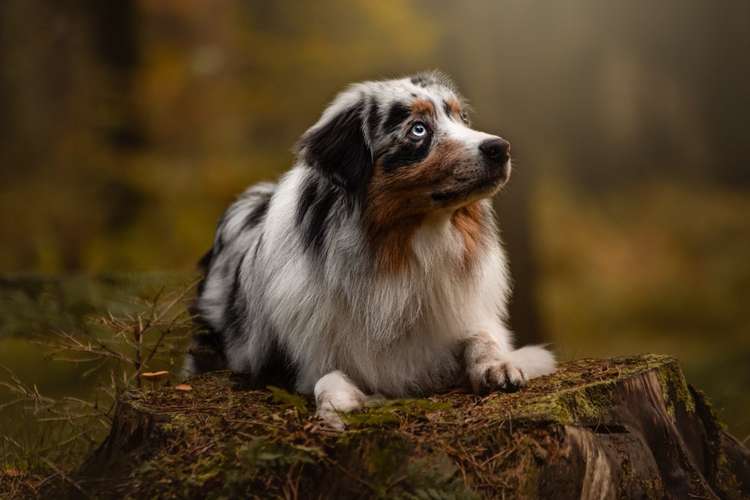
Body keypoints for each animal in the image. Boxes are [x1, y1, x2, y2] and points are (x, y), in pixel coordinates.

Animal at [185, 71, 556, 430]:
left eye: (461, 117)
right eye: (418, 129)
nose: (500, 148)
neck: (405, 251)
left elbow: (480, 338)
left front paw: (497, 365)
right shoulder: (292, 361)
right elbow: (327, 377)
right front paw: (340, 403)